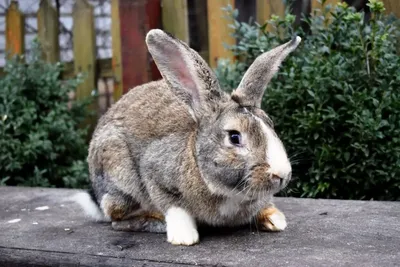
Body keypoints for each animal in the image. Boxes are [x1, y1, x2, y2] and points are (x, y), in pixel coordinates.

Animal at [74, 29, 300, 247]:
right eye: (234, 137)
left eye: (270, 125)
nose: (282, 174)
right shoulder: (155, 173)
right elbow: (175, 207)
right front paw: (184, 237)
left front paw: (275, 220)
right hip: (121, 178)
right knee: (117, 219)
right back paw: (155, 222)